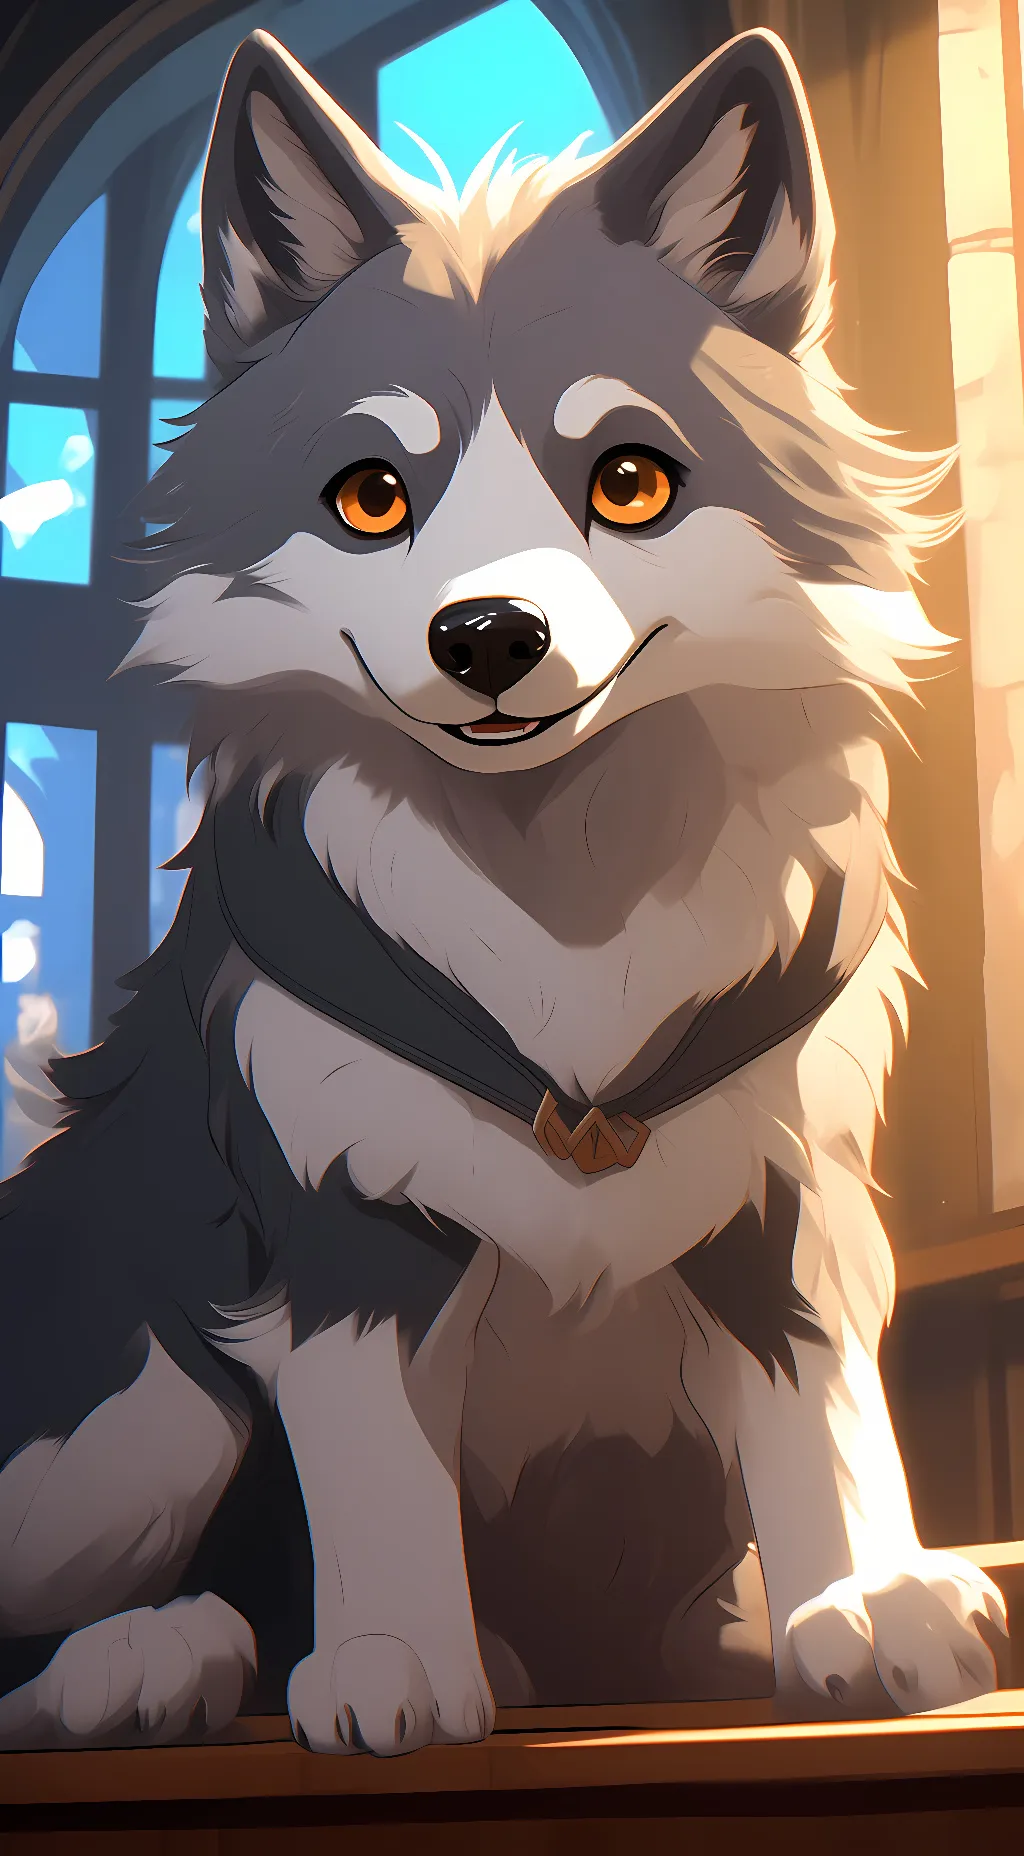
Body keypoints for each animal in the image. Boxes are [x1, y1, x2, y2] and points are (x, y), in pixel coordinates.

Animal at [0, 26, 1006, 1755]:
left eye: (630, 481)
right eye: (369, 496)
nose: (485, 639)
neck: (558, 906)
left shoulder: (781, 1194)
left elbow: (826, 1415)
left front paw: (858, 1604)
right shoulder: (344, 1219)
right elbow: (373, 1465)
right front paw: (394, 1654)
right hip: (142, 1416)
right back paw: (147, 1662)